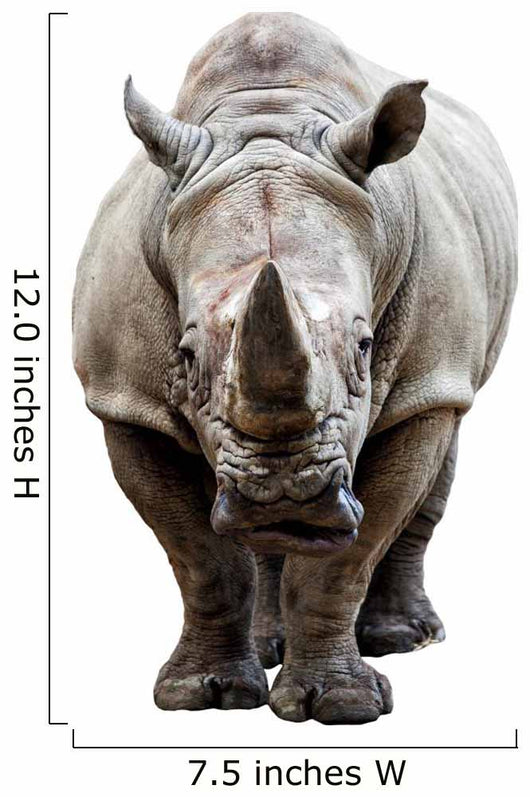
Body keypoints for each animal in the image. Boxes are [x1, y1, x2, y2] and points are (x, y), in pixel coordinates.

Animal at [73, 12, 516, 724]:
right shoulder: (125, 400)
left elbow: (346, 558)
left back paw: (403, 639)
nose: (285, 492)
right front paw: (200, 698)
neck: (269, 118)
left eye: (365, 347)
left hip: (449, 370)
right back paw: (269, 639)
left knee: (446, 433)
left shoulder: (427, 378)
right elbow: (202, 559)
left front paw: (341, 706)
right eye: (186, 356)